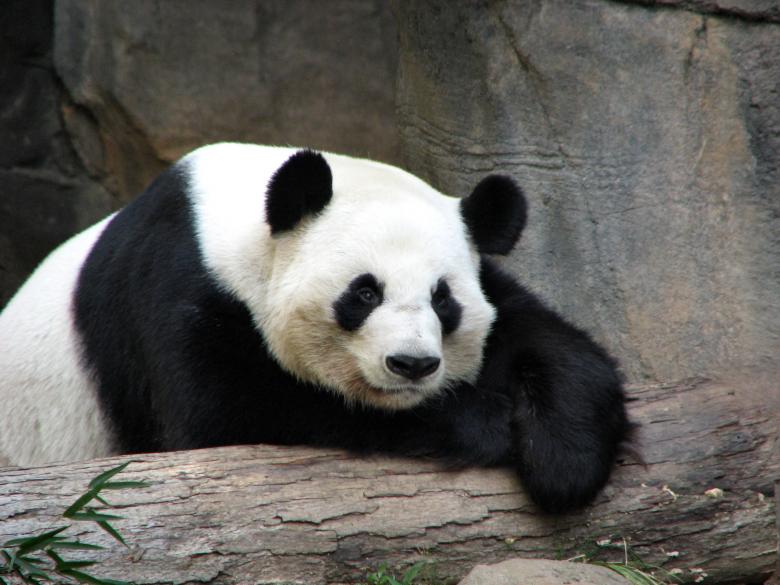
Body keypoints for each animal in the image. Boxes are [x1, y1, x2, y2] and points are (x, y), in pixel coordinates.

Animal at [0, 143, 630, 513]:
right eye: (365, 292)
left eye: (443, 299)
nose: (412, 364)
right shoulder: (175, 286)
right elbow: (228, 414)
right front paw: (486, 421)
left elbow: (550, 341)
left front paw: (563, 460)